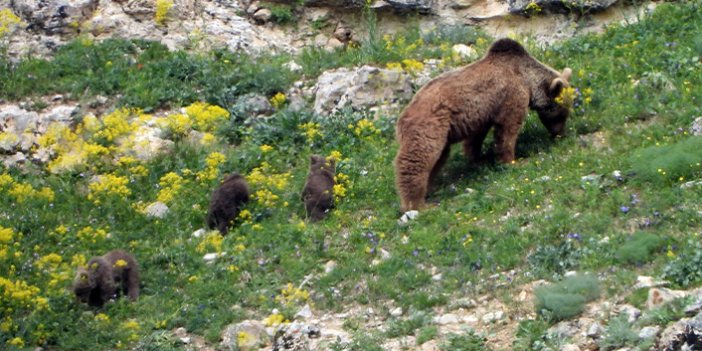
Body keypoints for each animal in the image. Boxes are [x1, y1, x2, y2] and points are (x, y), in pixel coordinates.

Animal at [396, 38, 572, 212]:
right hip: (430, 126)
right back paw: (417, 204)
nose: (561, 134)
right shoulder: (511, 95)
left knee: (438, 157)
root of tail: (402, 116)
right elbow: (507, 129)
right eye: (562, 114)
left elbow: (475, 138)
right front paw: (512, 160)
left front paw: (478, 159)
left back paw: (429, 189)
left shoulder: (482, 113)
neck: (528, 80)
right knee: (418, 158)